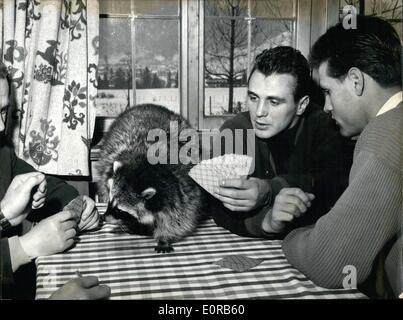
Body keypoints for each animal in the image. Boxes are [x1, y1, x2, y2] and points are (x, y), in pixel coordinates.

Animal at [97, 104, 205, 251]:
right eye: (110, 201)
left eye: (120, 210)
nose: (103, 218)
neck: (146, 166)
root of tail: (149, 105)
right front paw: (134, 225)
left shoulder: (183, 188)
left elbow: (181, 217)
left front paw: (165, 237)